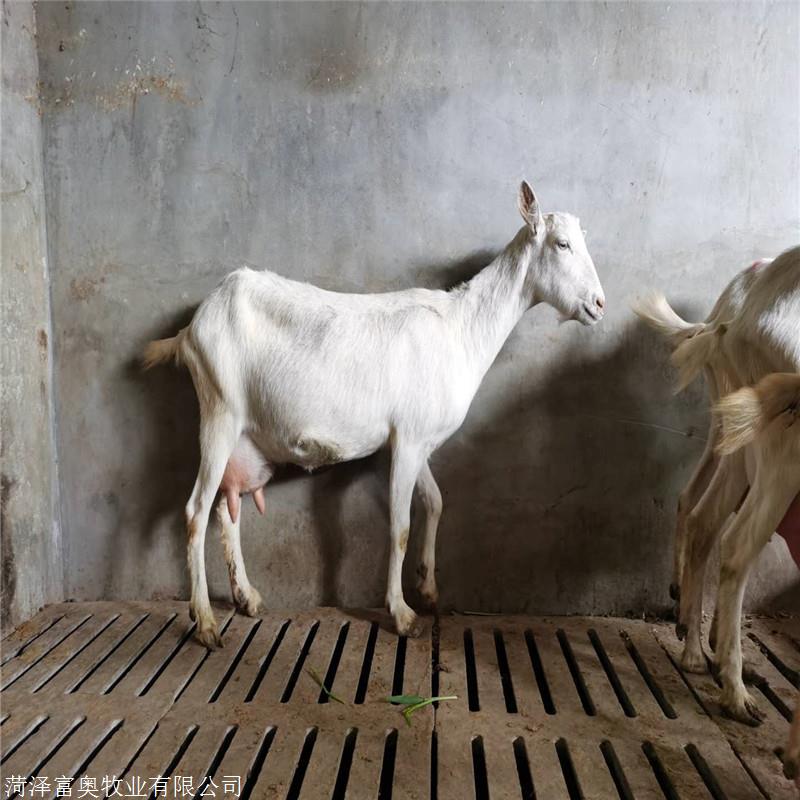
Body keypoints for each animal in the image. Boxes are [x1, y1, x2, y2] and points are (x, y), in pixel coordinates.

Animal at [145, 184, 608, 648]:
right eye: (562, 244)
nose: (599, 304)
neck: (461, 329)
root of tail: (190, 330)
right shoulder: (408, 439)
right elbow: (400, 524)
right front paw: (402, 613)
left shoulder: (416, 440)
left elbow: (436, 501)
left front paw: (427, 587)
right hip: (218, 410)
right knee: (196, 510)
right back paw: (205, 621)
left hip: (243, 437)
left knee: (227, 509)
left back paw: (247, 597)